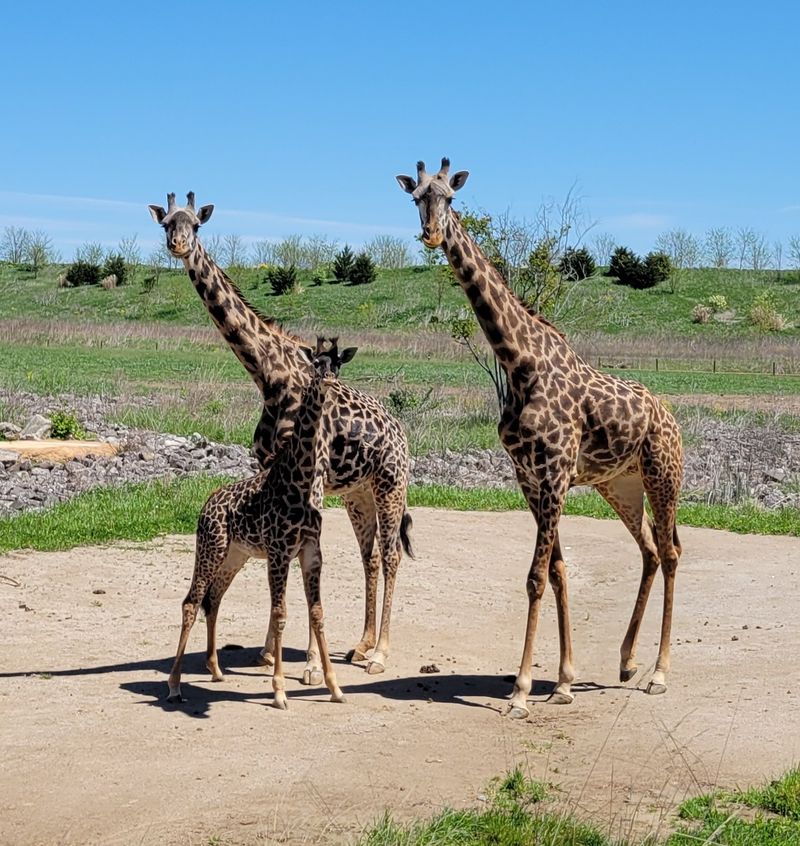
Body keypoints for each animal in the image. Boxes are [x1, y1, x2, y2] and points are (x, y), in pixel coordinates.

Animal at [166, 339, 352, 708]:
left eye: (339, 364)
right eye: (315, 363)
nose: (329, 382)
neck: (299, 480)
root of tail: (206, 505)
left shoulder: (311, 552)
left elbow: (317, 613)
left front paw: (334, 688)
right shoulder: (279, 552)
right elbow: (280, 614)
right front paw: (279, 691)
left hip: (235, 555)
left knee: (214, 598)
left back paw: (215, 670)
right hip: (210, 547)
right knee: (192, 601)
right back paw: (175, 685)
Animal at [397, 159, 683, 719]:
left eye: (450, 197)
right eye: (415, 197)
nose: (432, 233)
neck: (519, 362)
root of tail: (672, 418)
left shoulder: (552, 474)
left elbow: (534, 576)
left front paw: (522, 691)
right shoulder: (528, 477)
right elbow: (557, 571)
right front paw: (565, 680)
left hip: (664, 477)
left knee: (671, 552)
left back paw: (660, 674)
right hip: (620, 485)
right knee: (650, 552)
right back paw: (626, 661)